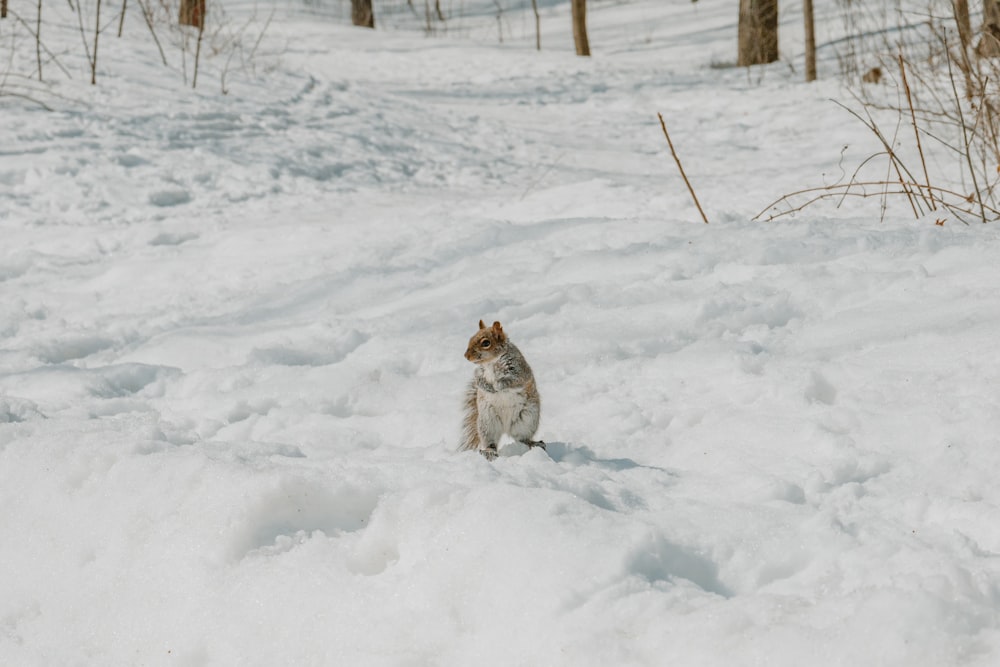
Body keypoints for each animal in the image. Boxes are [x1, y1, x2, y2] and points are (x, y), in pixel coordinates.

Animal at [462, 320, 548, 462]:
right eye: (470, 338)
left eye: (486, 343)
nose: (466, 356)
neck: (491, 362)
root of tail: (506, 427)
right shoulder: (479, 373)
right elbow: (479, 381)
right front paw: (488, 387)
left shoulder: (520, 371)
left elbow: (513, 380)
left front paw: (498, 384)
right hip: (487, 423)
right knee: (491, 442)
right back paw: (489, 452)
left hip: (527, 420)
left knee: (522, 438)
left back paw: (532, 443)